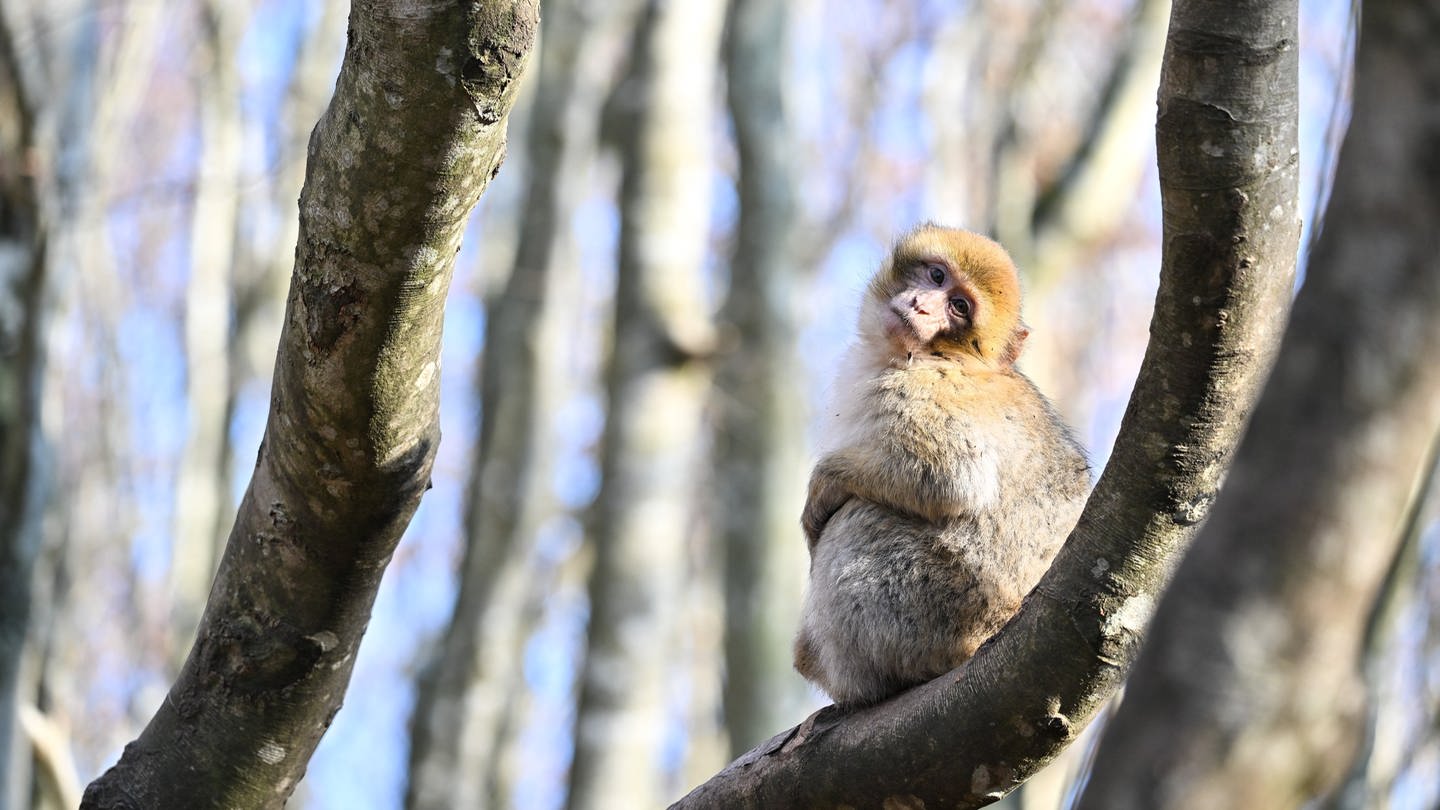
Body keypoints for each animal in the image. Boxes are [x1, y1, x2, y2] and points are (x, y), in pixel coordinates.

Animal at [794, 223, 1082, 703]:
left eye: (959, 308)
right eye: (936, 276)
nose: (922, 305)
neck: (941, 354)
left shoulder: (926, 388)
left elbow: (953, 478)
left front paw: (823, 487)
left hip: (930, 610)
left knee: (858, 517)